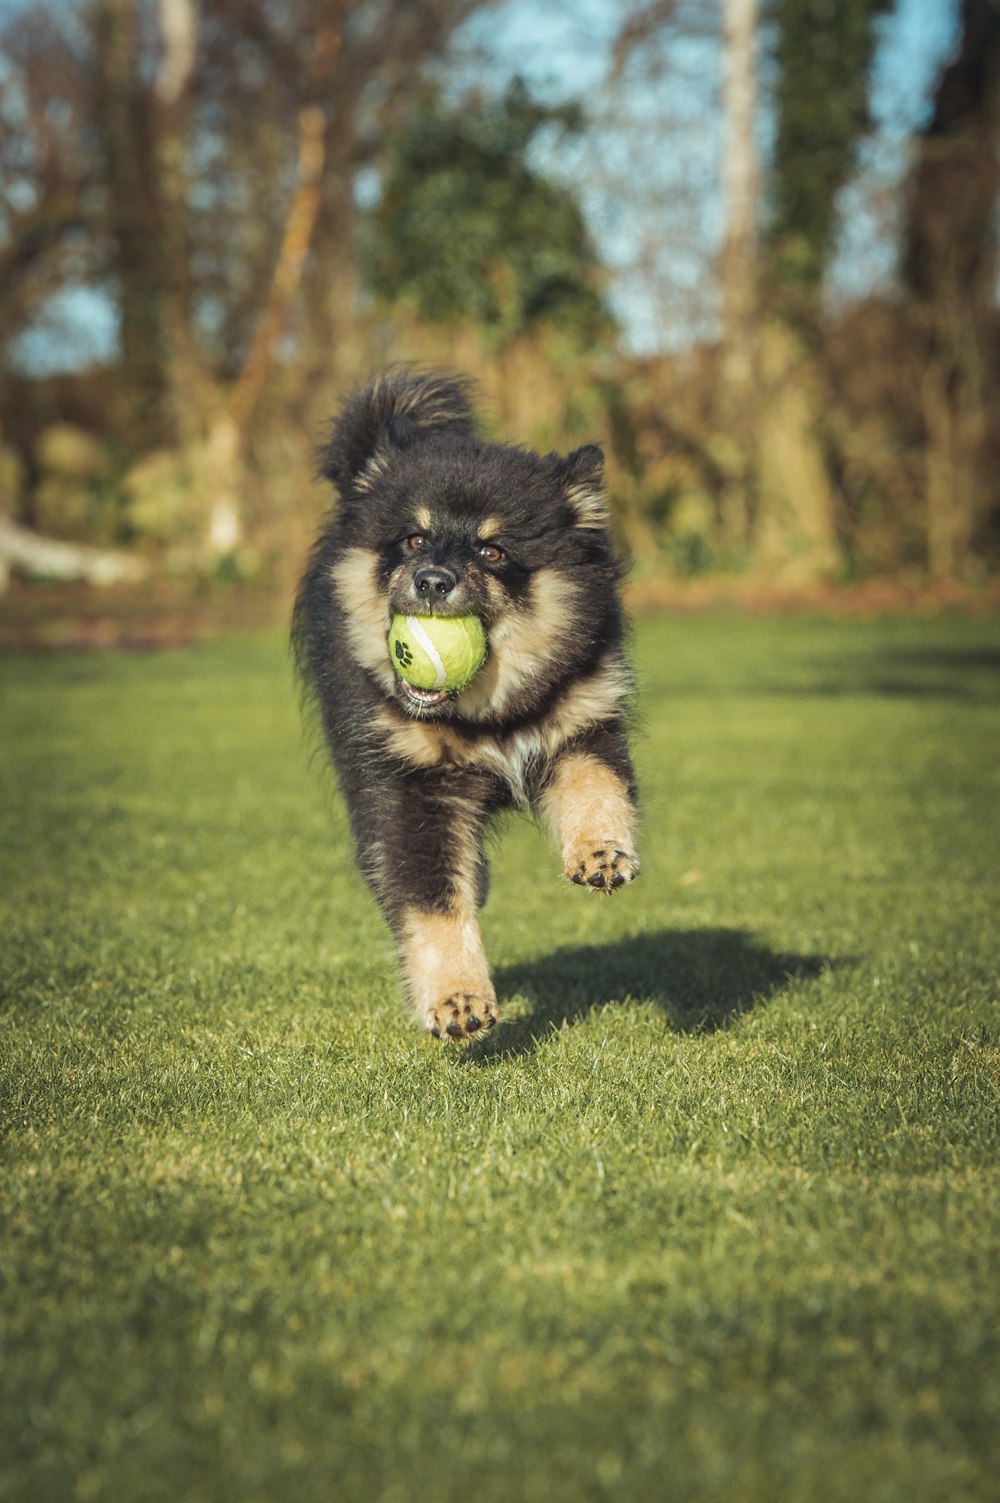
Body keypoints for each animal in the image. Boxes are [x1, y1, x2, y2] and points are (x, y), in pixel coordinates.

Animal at [293, 369, 634, 1040]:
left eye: (492, 551)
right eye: (414, 539)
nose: (430, 580)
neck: (488, 715)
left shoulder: (580, 726)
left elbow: (597, 791)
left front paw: (601, 853)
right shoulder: (408, 793)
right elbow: (432, 906)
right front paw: (458, 1000)